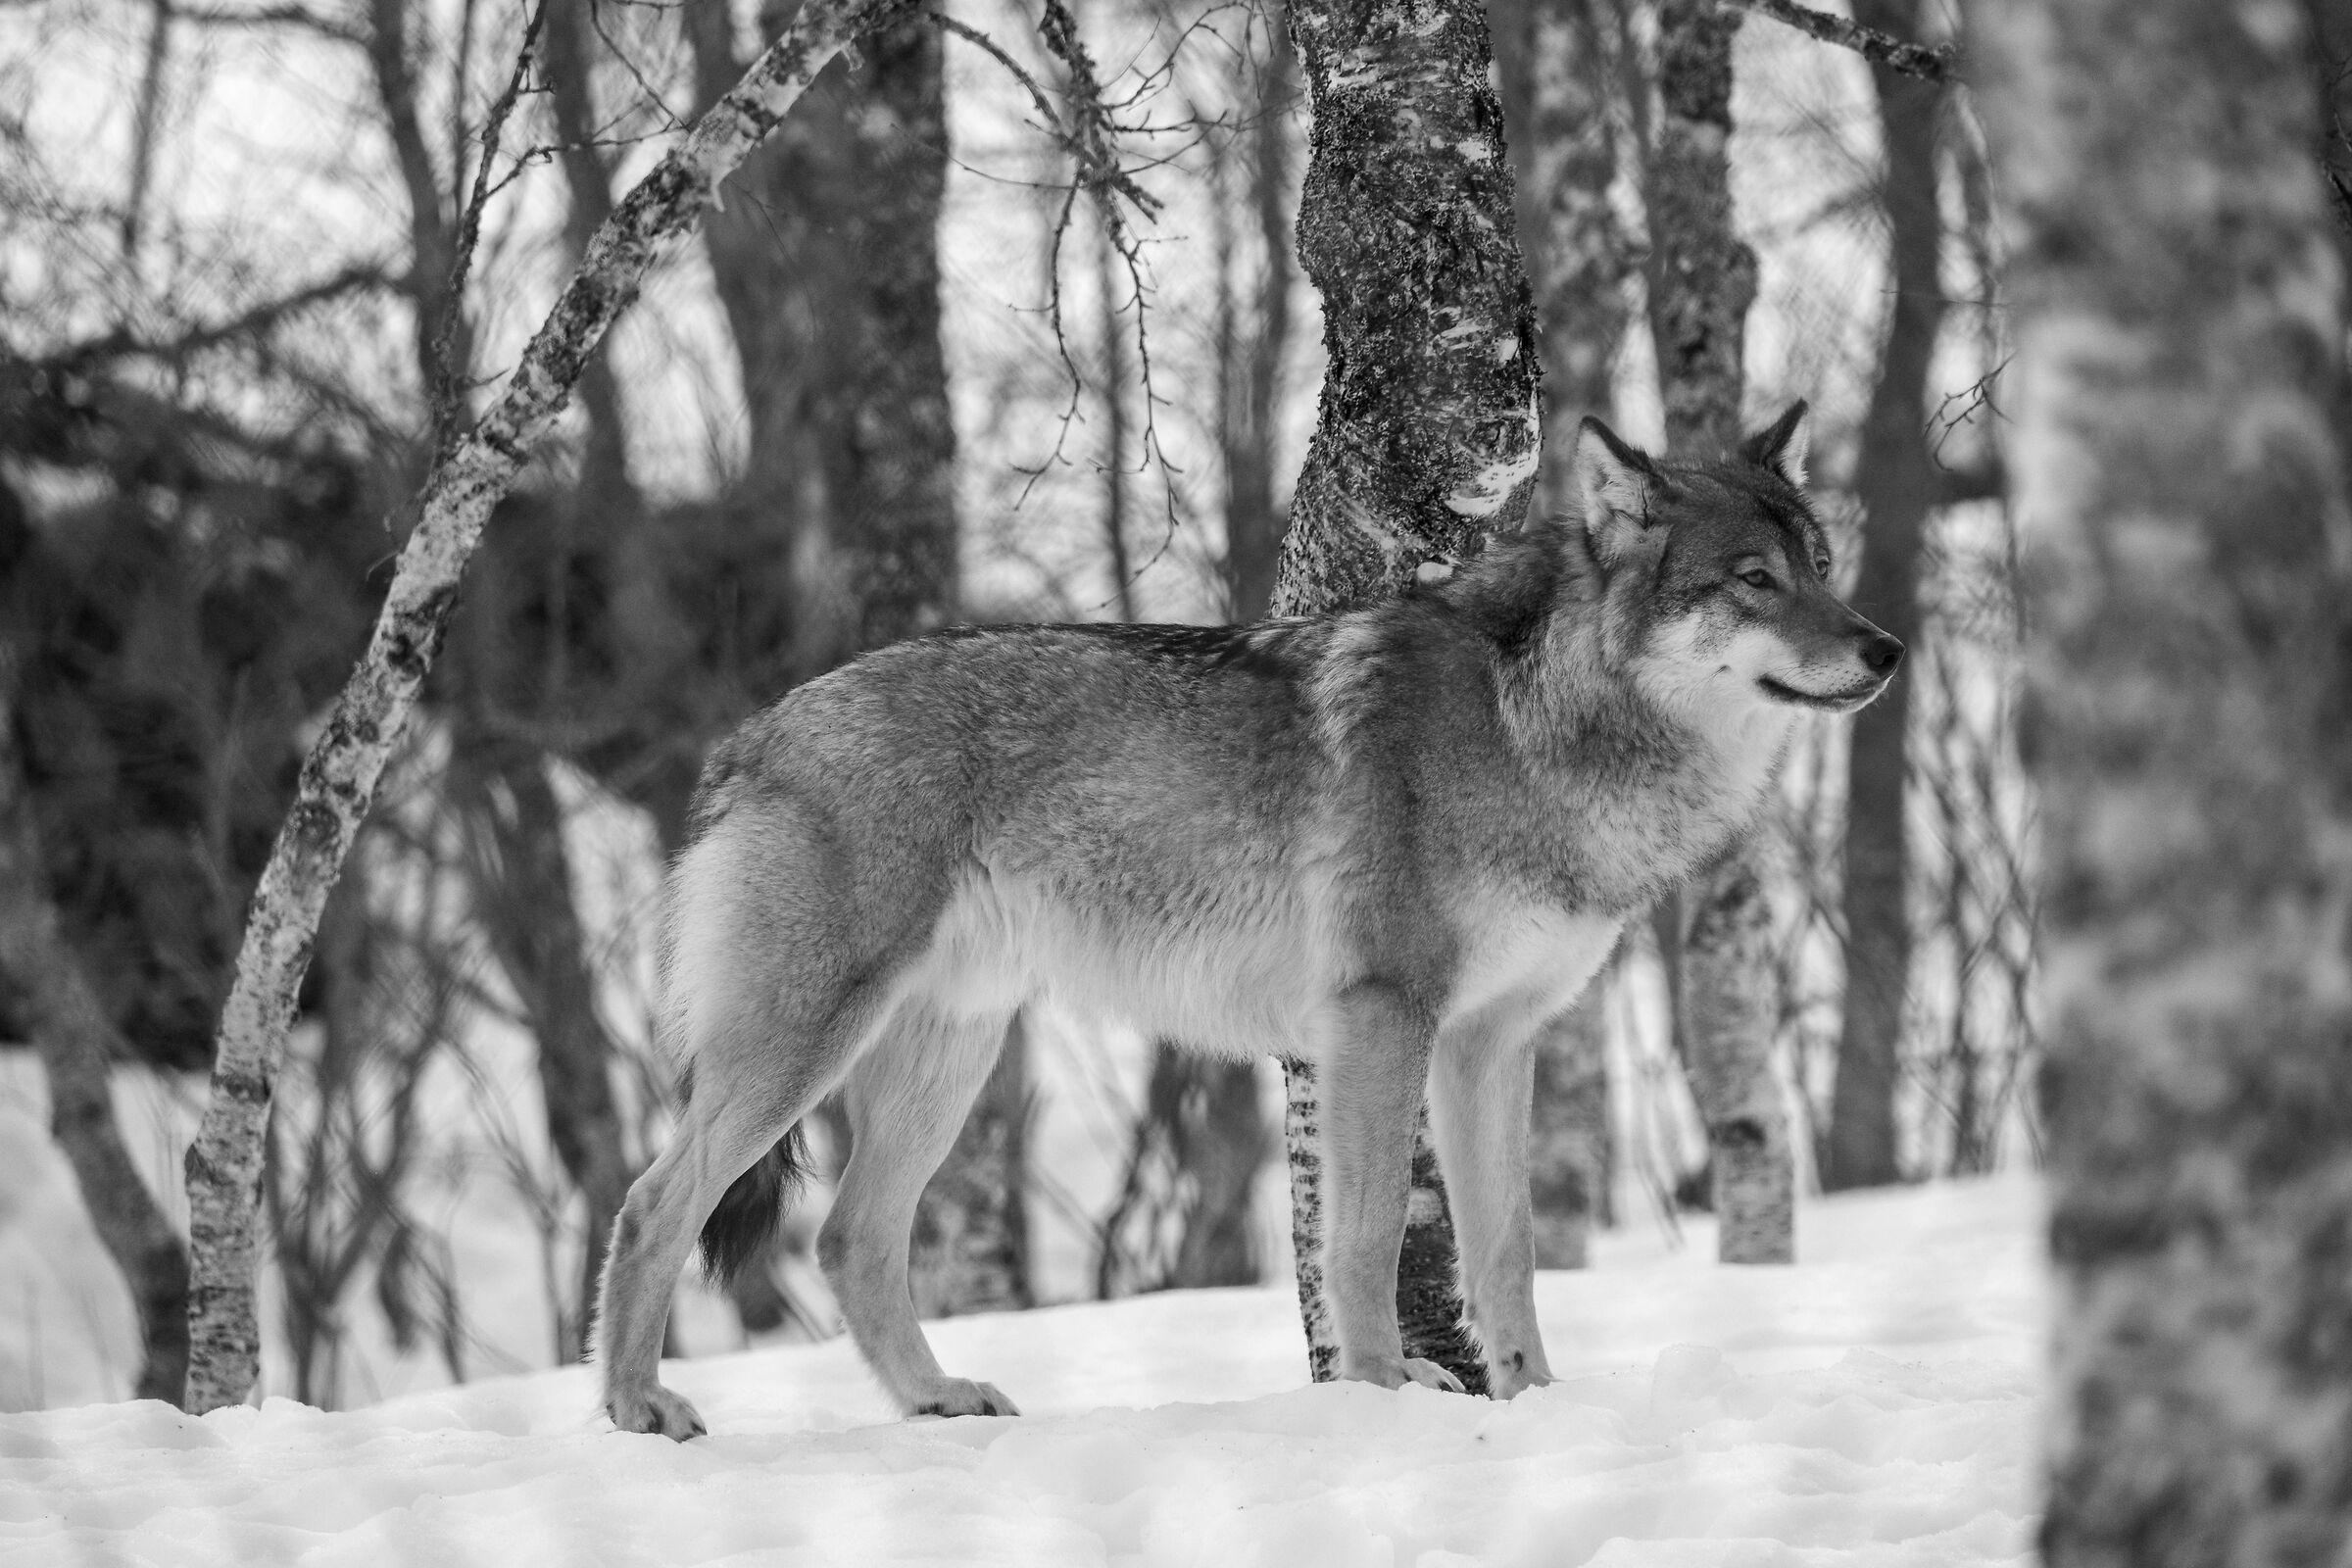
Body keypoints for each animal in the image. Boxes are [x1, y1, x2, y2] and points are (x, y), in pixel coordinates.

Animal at [594, 405, 1901, 1438]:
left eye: (1825, 562)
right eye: (1754, 580)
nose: (1887, 648)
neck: (1538, 726)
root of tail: (750, 734)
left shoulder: (1493, 1043)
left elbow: (1510, 1250)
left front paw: (1533, 1402)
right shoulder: (1383, 1019)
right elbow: (1366, 1240)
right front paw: (1387, 1393)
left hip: (944, 1057)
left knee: (850, 1241)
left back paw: (935, 1400)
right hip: (807, 1045)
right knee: (658, 1201)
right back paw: (638, 1408)